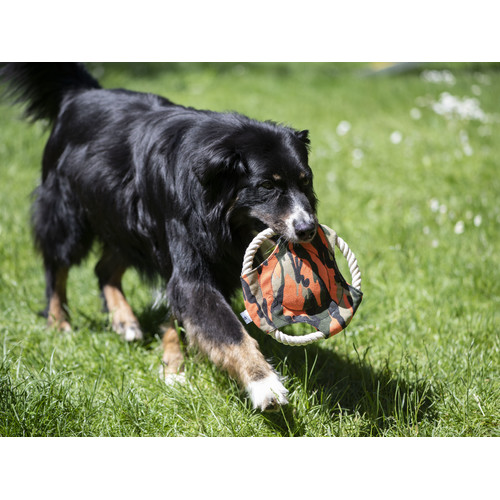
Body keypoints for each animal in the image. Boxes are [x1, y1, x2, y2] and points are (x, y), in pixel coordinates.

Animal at [0, 64, 318, 410]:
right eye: (267, 185)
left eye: (305, 181)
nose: (308, 229)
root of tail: (80, 93)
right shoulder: (186, 246)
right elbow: (226, 328)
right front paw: (264, 383)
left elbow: (180, 312)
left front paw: (173, 364)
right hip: (68, 209)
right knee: (57, 264)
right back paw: (59, 324)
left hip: (127, 223)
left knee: (104, 268)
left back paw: (124, 321)